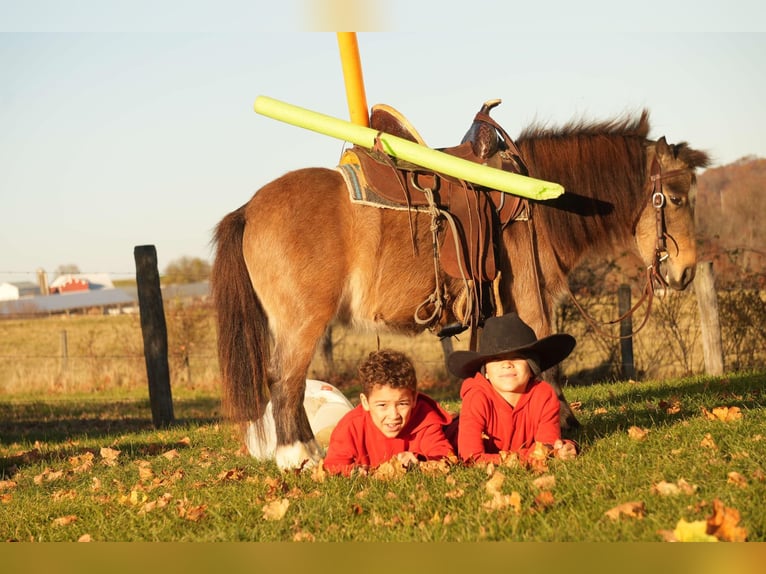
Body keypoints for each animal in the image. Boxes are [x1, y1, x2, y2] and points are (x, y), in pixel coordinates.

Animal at [213, 104, 712, 472]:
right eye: (677, 198)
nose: (686, 271)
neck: (536, 203)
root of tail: (248, 209)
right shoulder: (530, 293)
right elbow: (544, 355)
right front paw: (564, 422)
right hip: (302, 321)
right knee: (286, 379)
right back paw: (298, 455)